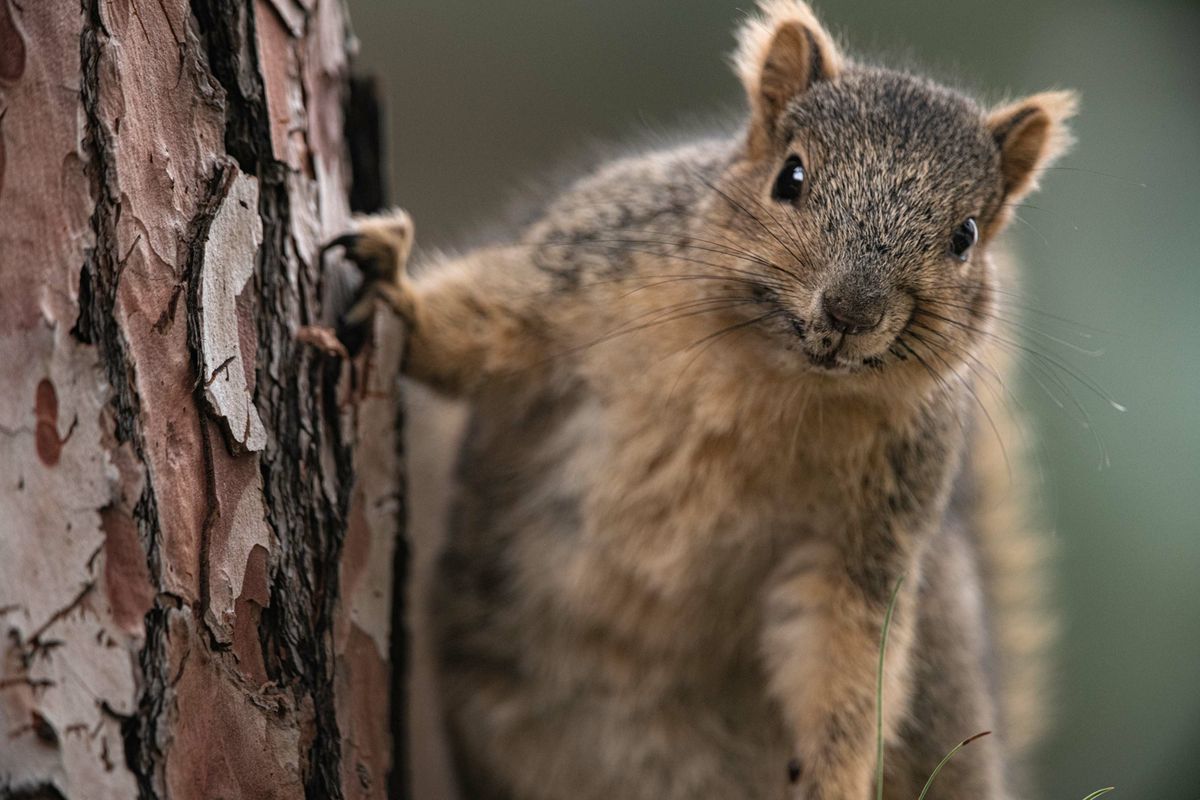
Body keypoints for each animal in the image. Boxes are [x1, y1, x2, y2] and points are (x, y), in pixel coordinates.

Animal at [328, 2, 1074, 797]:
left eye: (965, 236)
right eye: (791, 176)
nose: (851, 311)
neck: (773, 373)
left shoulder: (872, 529)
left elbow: (844, 650)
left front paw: (833, 778)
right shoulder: (585, 273)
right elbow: (478, 331)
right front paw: (394, 287)